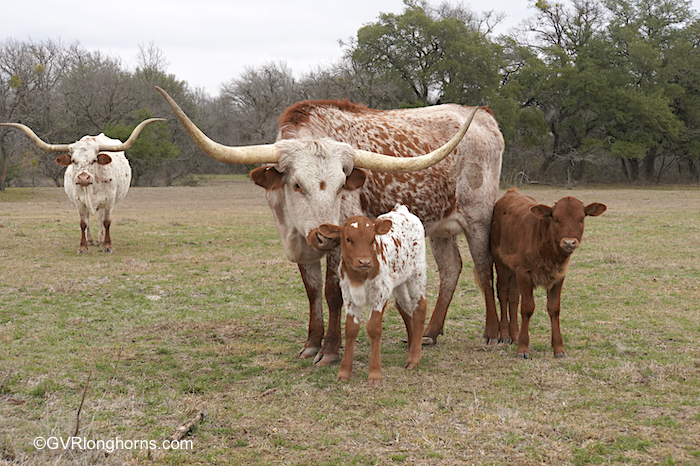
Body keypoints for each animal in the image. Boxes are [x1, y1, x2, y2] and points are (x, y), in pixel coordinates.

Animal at [0, 118, 164, 253]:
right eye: (73, 160)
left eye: (94, 160)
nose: (83, 178)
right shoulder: (79, 201)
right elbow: (83, 223)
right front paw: (83, 247)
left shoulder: (109, 200)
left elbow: (106, 222)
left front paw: (107, 246)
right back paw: (91, 240)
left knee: (100, 218)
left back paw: (100, 239)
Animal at [310, 206, 426, 384]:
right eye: (348, 239)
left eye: (372, 239)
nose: (364, 261)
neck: (360, 277)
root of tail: (401, 209)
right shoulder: (349, 296)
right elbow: (350, 329)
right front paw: (344, 372)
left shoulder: (380, 294)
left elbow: (373, 328)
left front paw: (374, 374)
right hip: (400, 280)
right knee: (405, 308)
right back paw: (412, 347)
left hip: (417, 274)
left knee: (419, 309)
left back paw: (414, 358)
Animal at [490, 187, 604, 358]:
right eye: (555, 219)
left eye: (581, 219)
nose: (569, 242)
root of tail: (511, 192)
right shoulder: (524, 272)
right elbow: (527, 308)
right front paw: (523, 348)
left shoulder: (558, 276)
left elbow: (554, 309)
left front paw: (559, 348)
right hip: (501, 262)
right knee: (503, 293)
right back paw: (504, 335)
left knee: (514, 297)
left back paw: (514, 335)